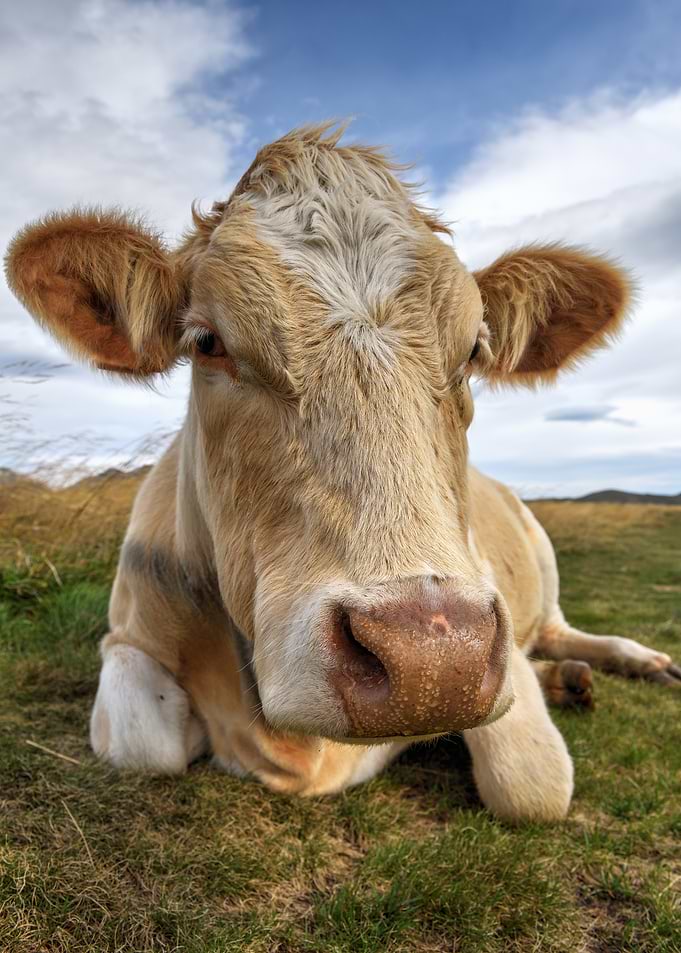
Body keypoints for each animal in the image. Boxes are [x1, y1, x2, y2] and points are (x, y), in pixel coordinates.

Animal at [6, 124, 679, 822]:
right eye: (207, 341)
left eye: (473, 350)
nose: (432, 664)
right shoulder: (126, 634)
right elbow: (144, 746)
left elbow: (531, 786)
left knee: (555, 629)